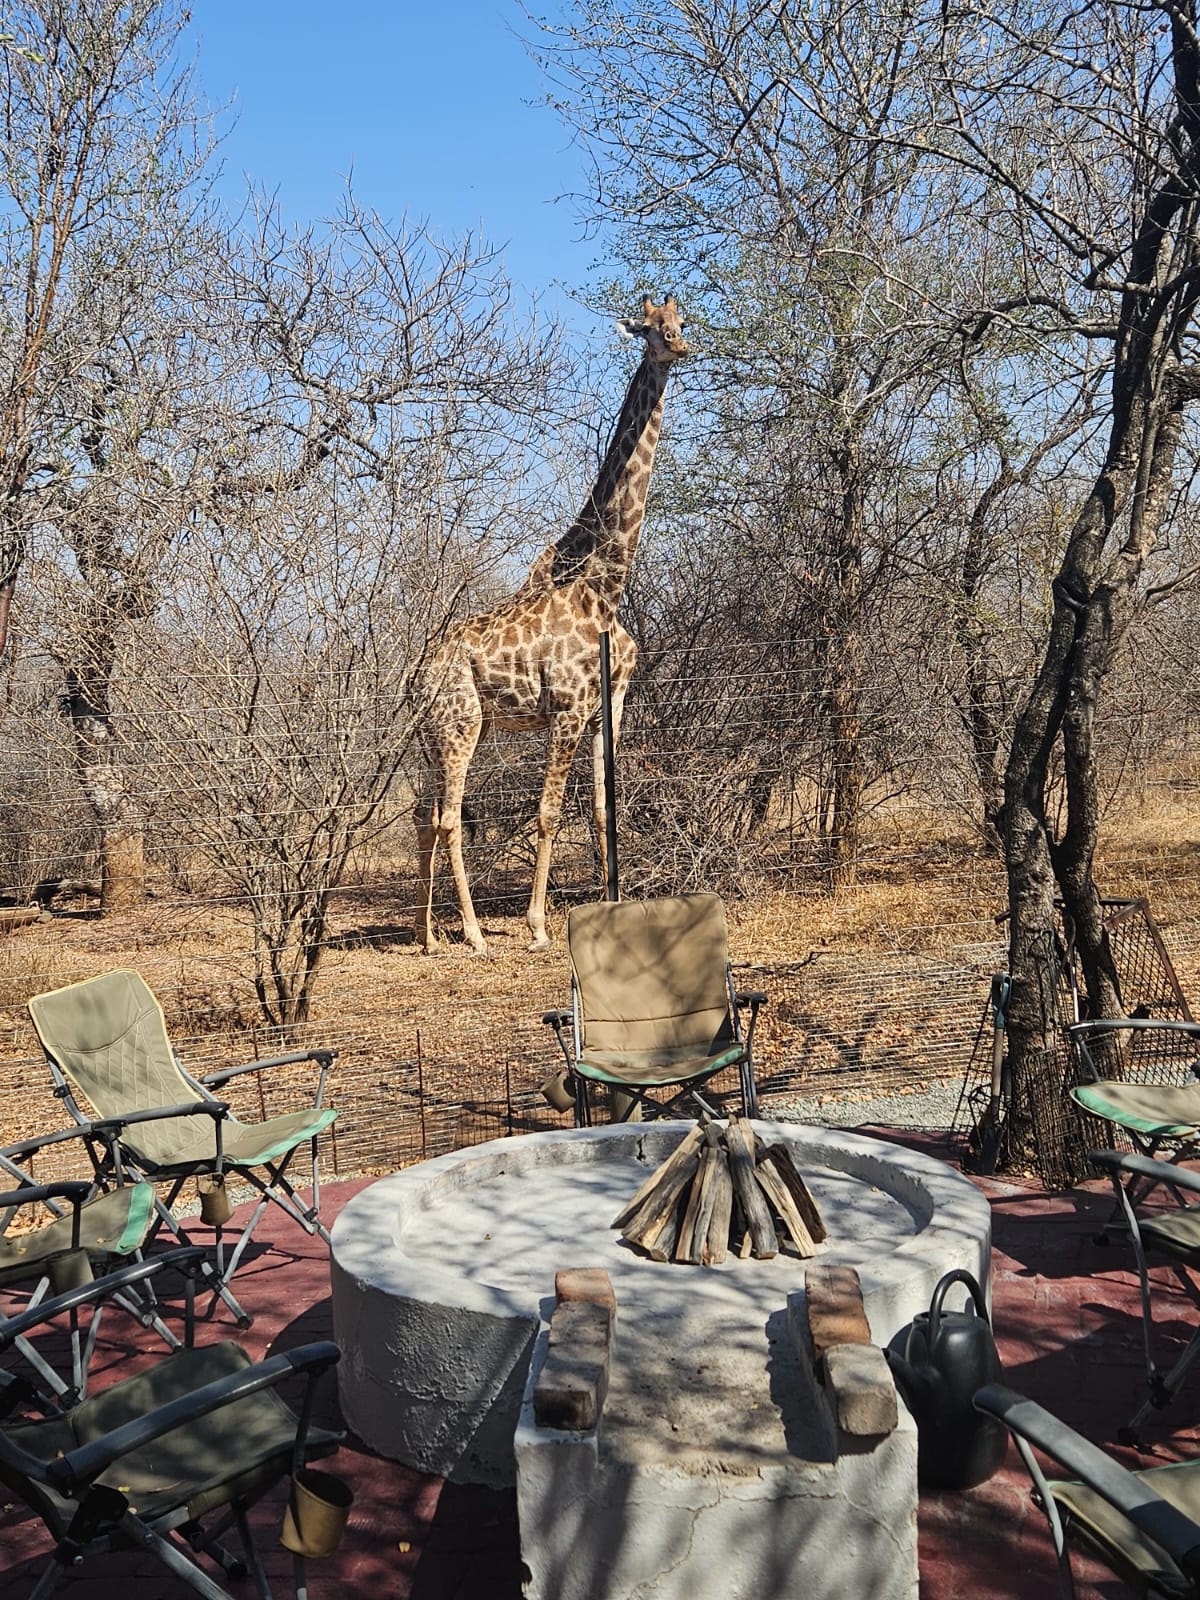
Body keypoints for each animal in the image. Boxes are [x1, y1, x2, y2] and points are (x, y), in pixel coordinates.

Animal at [412, 294, 689, 955]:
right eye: (649, 329)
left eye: (682, 321)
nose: (679, 346)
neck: (604, 586)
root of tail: (413, 677)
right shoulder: (565, 709)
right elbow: (548, 813)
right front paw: (538, 926)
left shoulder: (608, 709)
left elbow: (603, 809)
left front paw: (615, 903)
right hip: (460, 727)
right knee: (449, 818)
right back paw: (474, 933)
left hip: (443, 735)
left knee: (425, 819)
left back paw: (429, 935)